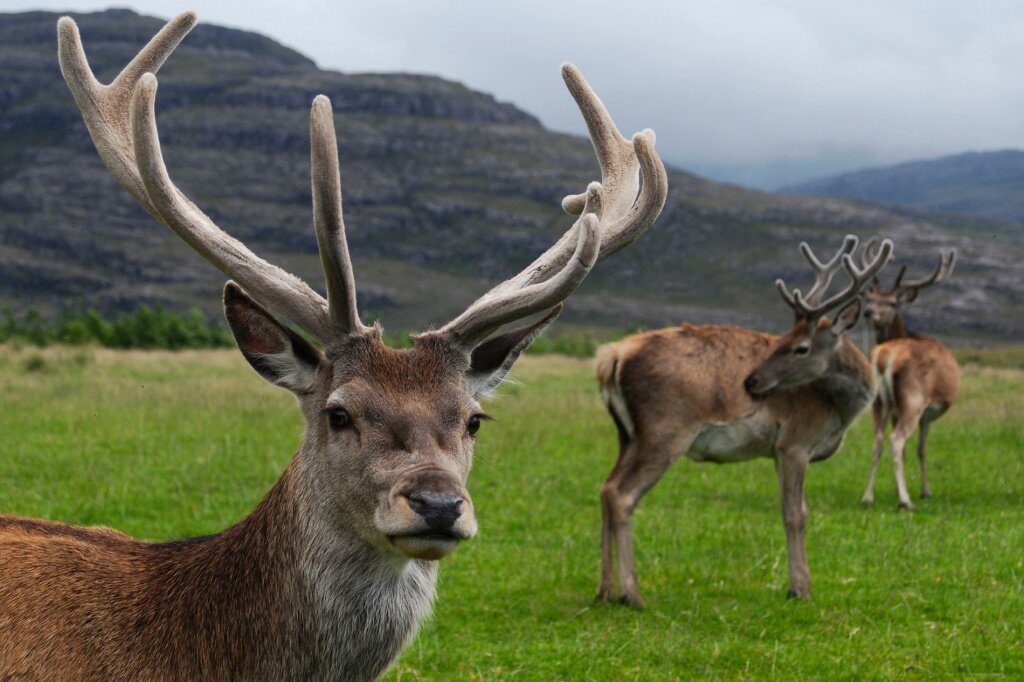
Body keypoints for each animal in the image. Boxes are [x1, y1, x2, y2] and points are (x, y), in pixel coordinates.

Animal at [598, 233, 892, 602]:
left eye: (800, 347)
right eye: (783, 340)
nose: (751, 382)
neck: (837, 410)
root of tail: (611, 357)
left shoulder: (779, 451)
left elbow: (797, 509)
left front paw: (800, 583)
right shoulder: (795, 442)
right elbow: (795, 513)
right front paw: (800, 588)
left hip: (627, 434)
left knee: (605, 487)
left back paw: (604, 590)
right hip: (664, 430)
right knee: (622, 494)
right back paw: (631, 594)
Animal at [864, 241, 958, 507]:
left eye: (892, 302)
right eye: (871, 298)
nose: (868, 312)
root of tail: (885, 357)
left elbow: (911, 450)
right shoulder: (927, 413)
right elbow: (921, 449)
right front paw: (925, 491)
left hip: (879, 401)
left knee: (877, 440)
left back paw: (867, 497)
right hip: (913, 399)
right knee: (895, 441)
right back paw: (905, 501)